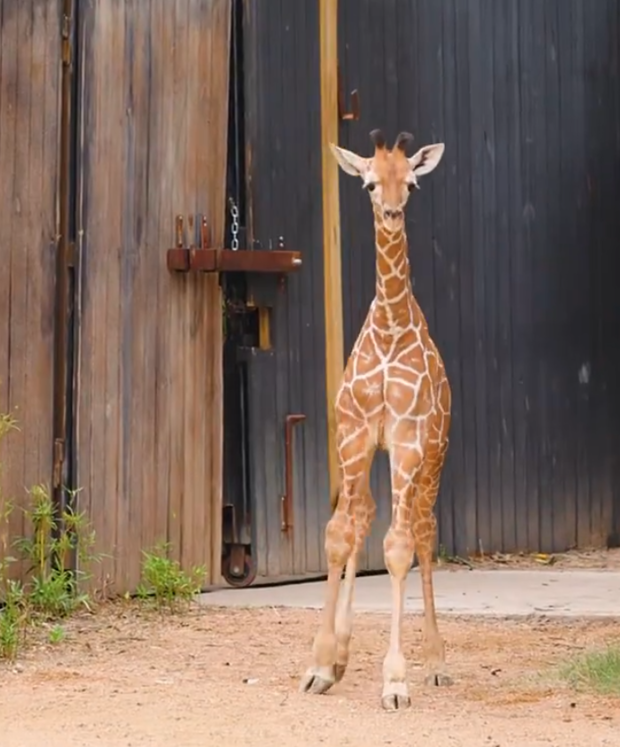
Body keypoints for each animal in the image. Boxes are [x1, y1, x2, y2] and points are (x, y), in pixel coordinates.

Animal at [300, 130, 450, 712]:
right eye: (367, 183)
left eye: (411, 182)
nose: (391, 213)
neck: (388, 328)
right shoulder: (355, 435)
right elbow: (340, 534)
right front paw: (322, 663)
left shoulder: (407, 442)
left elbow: (398, 548)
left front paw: (396, 680)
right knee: (362, 515)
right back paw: (342, 653)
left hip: (435, 457)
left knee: (425, 532)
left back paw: (436, 662)